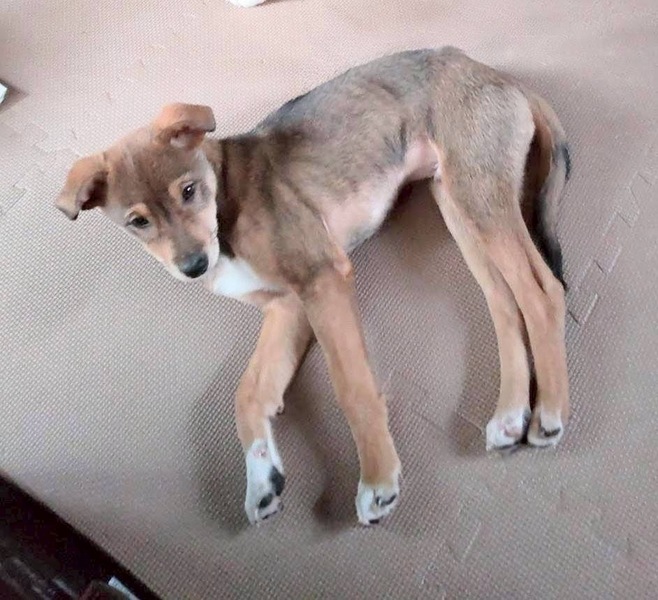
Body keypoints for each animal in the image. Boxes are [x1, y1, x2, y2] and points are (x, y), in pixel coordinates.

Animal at [55, 47, 571, 526]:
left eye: (187, 191)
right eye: (138, 222)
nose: (194, 267)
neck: (225, 201)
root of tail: (497, 75)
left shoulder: (322, 280)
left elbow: (351, 387)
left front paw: (377, 480)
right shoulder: (288, 308)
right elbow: (248, 393)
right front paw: (261, 480)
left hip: (477, 197)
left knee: (543, 293)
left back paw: (549, 413)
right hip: (457, 204)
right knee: (504, 304)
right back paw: (510, 416)